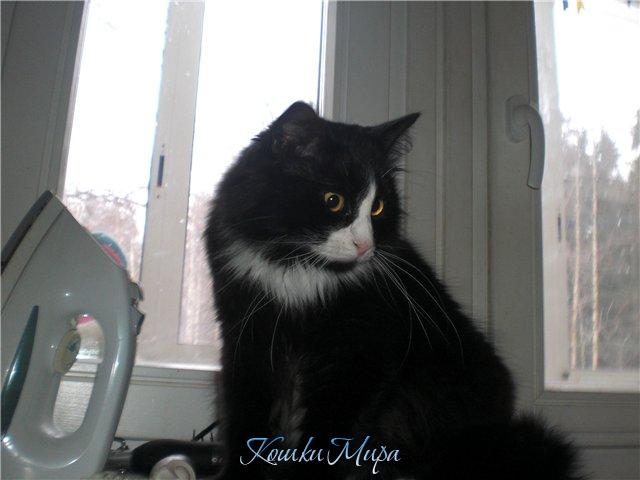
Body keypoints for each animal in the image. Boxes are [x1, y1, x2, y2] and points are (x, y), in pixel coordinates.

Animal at [205, 101, 581, 479]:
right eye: (333, 200)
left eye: (377, 208)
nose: (364, 246)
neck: (300, 270)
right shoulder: (247, 336)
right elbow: (246, 413)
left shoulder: (360, 351)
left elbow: (330, 432)